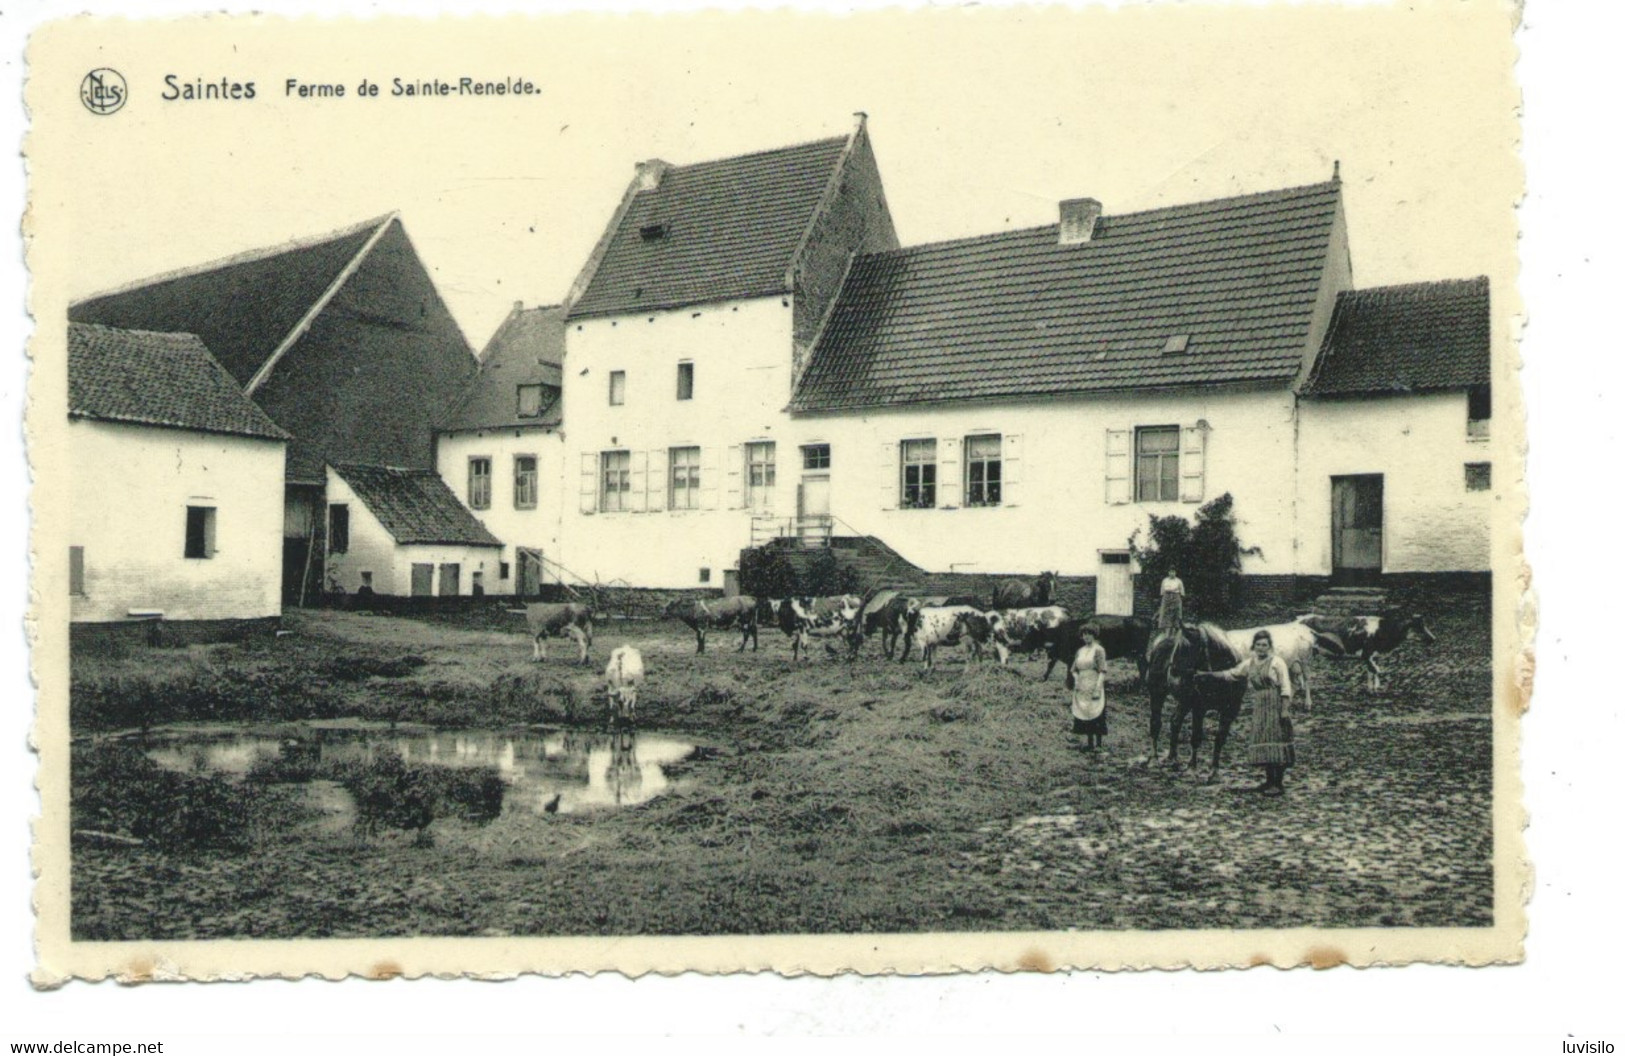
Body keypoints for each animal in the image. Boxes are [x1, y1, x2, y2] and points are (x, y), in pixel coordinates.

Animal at [1150, 620, 1248, 776]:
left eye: (1185, 649)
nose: (1173, 676)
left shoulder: (1231, 710)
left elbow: (1220, 738)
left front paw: (1214, 770)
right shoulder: (1199, 708)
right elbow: (1196, 737)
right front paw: (1192, 767)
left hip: (1184, 701)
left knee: (1175, 721)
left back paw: (1173, 758)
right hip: (1157, 694)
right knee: (1155, 723)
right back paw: (1155, 759)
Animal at [1293, 607, 1436, 692]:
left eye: (1424, 625)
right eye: (1417, 627)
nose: (1433, 639)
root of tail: (1298, 620)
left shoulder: (1374, 656)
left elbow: (1371, 673)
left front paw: (1371, 689)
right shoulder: (1367, 654)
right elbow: (1377, 671)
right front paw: (1375, 689)